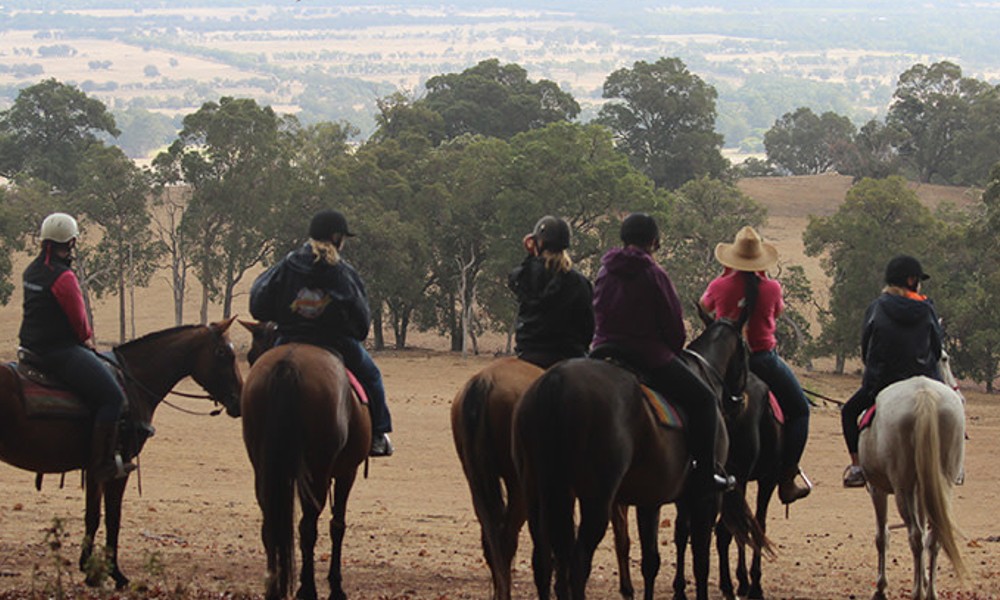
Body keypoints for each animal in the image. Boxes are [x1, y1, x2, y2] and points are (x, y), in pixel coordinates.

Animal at [0, 322, 243, 588]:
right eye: (223, 353)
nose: (239, 400)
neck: (134, 382)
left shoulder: (95, 469)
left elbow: (93, 516)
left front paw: (90, 570)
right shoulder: (119, 467)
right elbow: (113, 518)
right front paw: (115, 573)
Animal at [242, 342, 372, 600]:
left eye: (252, 353)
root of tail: (288, 363)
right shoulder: (347, 472)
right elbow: (337, 525)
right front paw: (336, 586)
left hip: (263, 467)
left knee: (270, 522)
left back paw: (273, 587)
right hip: (318, 471)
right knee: (308, 526)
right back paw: (308, 589)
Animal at [512, 318, 768, 600]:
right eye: (747, 353)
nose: (739, 402)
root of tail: (555, 382)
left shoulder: (650, 499)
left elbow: (650, 561)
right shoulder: (707, 497)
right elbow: (701, 561)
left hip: (539, 492)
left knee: (545, 561)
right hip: (596, 499)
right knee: (577, 564)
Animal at [860, 352, 968, 600]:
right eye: (945, 359)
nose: (962, 397)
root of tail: (924, 394)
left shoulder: (877, 489)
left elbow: (882, 537)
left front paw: (881, 587)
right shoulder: (924, 490)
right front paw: (926, 579)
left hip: (903, 489)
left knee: (916, 536)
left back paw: (918, 592)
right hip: (941, 485)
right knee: (935, 535)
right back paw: (931, 592)